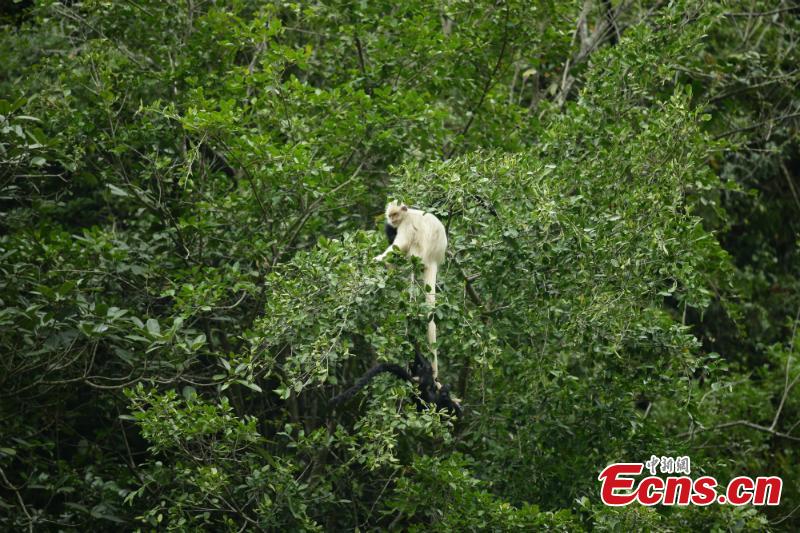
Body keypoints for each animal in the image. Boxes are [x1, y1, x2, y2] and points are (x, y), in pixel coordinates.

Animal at [374, 201, 447, 378]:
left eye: (395, 215)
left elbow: (401, 244)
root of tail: (433, 259)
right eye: (390, 215)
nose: (392, 219)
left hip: (415, 255)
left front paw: (378, 259)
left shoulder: (406, 225)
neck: (407, 214)